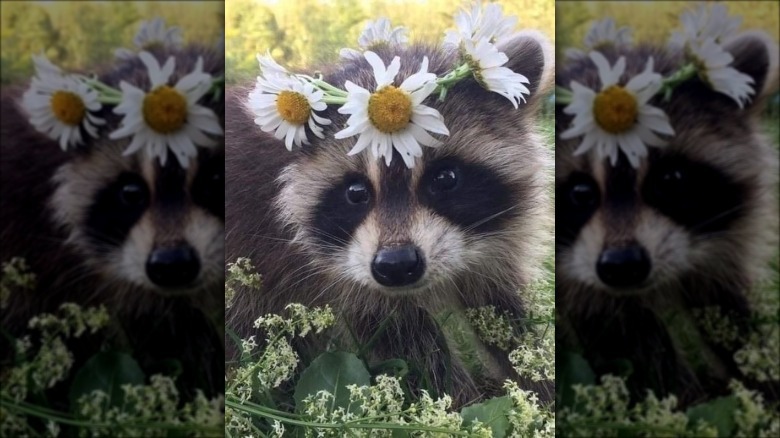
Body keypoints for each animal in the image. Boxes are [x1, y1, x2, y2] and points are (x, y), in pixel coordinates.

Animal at [225, 32, 554, 406]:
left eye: (445, 178)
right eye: (356, 192)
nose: (396, 265)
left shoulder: (497, 243)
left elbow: (502, 314)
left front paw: (536, 384)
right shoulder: (340, 275)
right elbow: (410, 347)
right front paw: (458, 406)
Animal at [555, 32, 779, 405]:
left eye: (671, 179)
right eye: (580, 192)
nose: (622, 266)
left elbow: (727, 309)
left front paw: (759, 378)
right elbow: (631, 345)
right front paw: (678, 402)